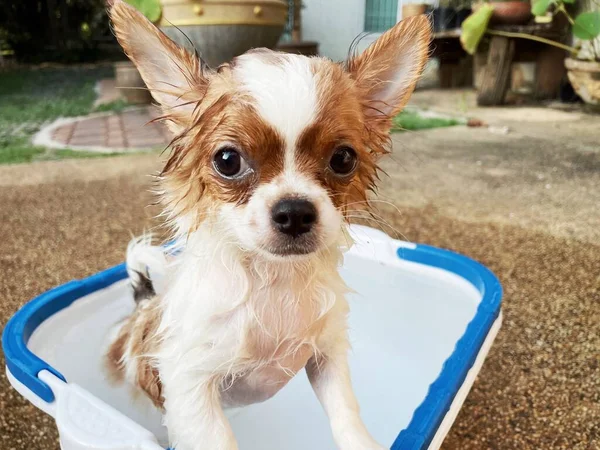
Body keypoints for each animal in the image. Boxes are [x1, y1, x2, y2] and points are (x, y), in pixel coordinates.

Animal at [106, 1, 432, 448]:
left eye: (343, 159)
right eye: (227, 160)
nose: (294, 211)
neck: (274, 282)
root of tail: (141, 303)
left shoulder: (326, 355)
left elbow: (346, 410)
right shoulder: (191, 383)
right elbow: (216, 438)